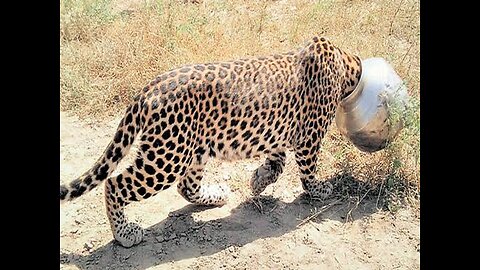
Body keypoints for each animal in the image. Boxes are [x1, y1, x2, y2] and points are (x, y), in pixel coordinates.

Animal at [59, 35, 360, 247]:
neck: (346, 64)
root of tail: (147, 89)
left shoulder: (278, 134)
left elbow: (276, 162)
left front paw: (258, 180)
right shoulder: (309, 137)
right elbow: (307, 171)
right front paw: (320, 188)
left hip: (193, 150)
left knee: (187, 186)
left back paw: (217, 195)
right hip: (167, 157)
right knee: (114, 184)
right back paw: (124, 233)